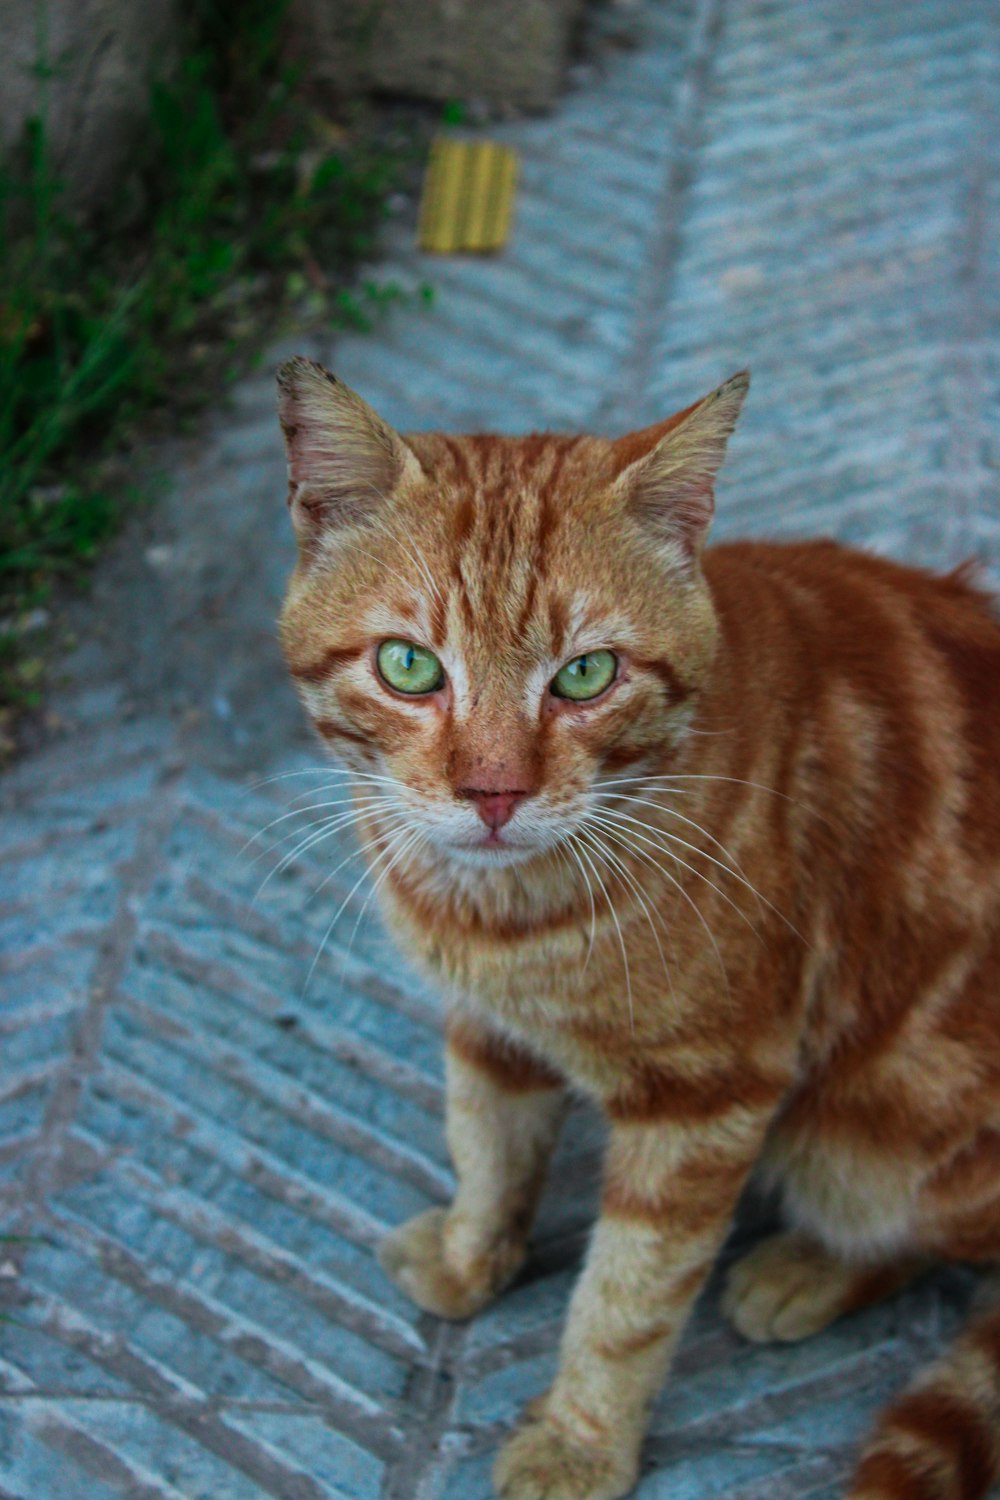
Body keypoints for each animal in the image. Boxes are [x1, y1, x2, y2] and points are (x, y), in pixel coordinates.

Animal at [277, 354, 1000, 1500]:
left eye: (585, 674)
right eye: (408, 667)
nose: (492, 793)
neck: (505, 917)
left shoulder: (706, 1097)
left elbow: (625, 1298)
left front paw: (579, 1441)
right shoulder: (489, 1027)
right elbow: (486, 1141)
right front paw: (475, 1256)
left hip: (883, 1134)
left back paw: (808, 1268)